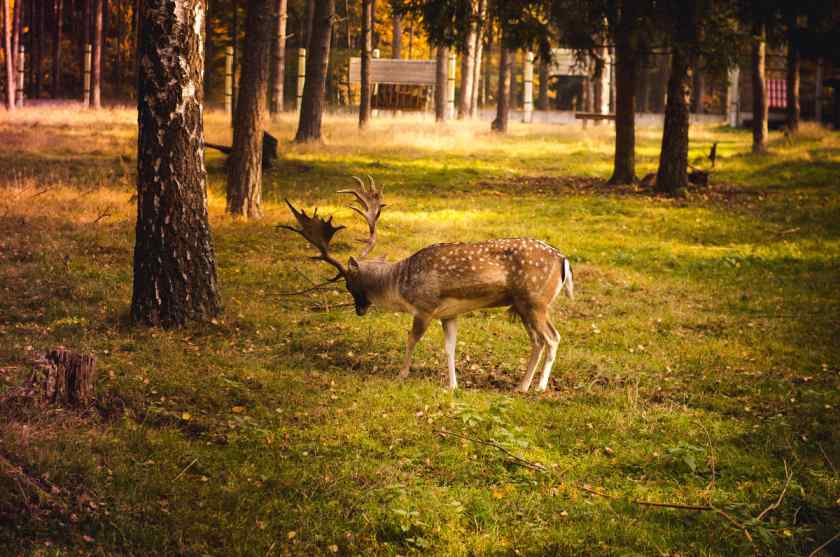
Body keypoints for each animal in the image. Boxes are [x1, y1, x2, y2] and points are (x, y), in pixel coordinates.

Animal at [280, 177, 572, 390]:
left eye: (349, 283)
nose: (359, 310)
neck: (400, 285)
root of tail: (563, 259)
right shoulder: (449, 314)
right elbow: (450, 348)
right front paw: (453, 386)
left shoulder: (424, 306)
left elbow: (411, 338)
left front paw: (401, 374)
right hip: (525, 305)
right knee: (538, 341)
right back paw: (521, 386)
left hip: (535, 300)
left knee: (552, 338)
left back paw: (538, 387)